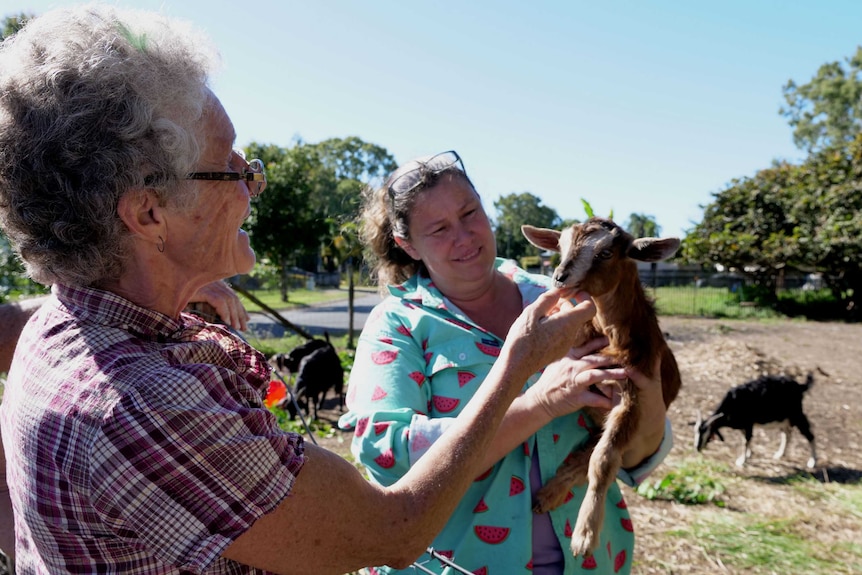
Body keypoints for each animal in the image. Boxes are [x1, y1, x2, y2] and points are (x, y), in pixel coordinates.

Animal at [520, 216, 680, 560]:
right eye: (561, 246)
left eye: (606, 253)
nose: (560, 277)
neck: (611, 338)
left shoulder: (632, 396)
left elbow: (604, 460)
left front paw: (584, 536)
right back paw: (548, 494)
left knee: (595, 455)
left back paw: (551, 495)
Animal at [696, 372, 824, 470]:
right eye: (696, 432)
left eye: (706, 432)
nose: (697, 448)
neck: (731, 404)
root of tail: (800, 386)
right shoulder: (744, 425)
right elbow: (746, 439)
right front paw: (748, 455)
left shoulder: (748, 423)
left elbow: (746, 440)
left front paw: (741, 461)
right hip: (784, 418)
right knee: (787, 434)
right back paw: (779, 454)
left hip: (796, 414)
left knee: (809, 434)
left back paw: (812, 462)